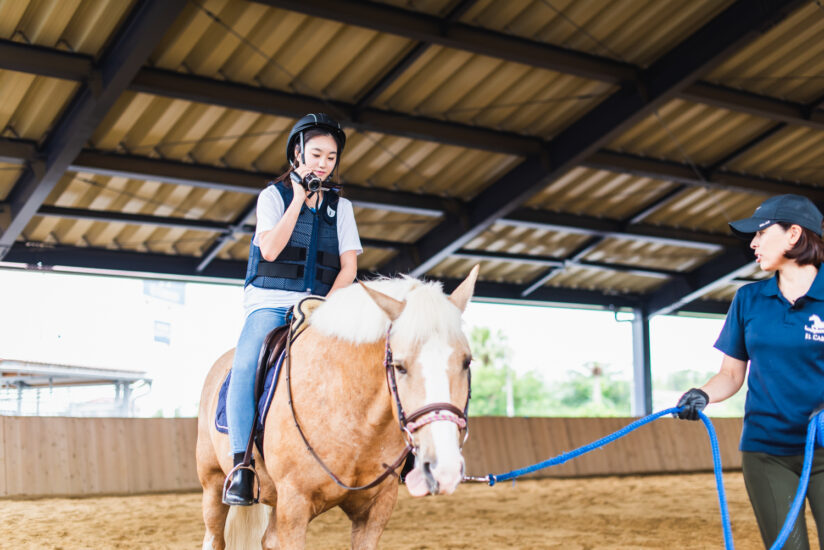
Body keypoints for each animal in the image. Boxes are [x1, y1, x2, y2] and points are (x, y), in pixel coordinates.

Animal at [195, 266, 476, 548]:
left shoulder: (375, 510)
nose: (444, 468)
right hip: (214, 485)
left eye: (467, 361)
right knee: (214, 536)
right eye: (399, 366)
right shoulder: (294, 508)